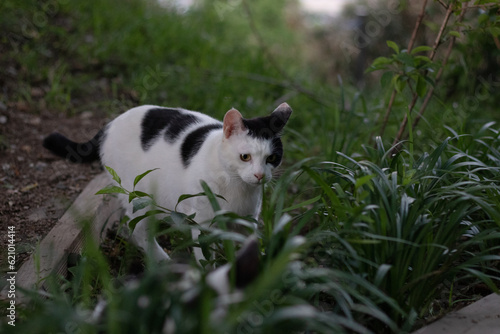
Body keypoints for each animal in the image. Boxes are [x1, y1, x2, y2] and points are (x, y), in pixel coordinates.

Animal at [44, 102, 292, 264]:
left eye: (272, 158)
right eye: (245, 157)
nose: (260, 176)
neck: (236, 186)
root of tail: (110, 124)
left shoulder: (249, 221)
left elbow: (247, 247)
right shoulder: (204, 223)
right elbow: (205, 256)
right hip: (139, 196)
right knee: (136, 230)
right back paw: (166, 264)